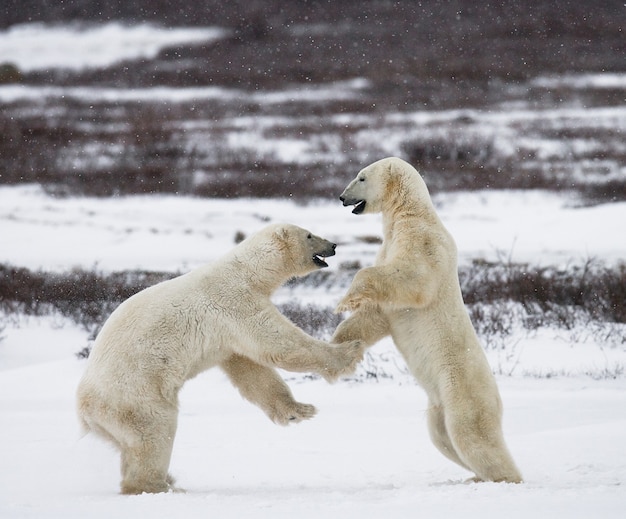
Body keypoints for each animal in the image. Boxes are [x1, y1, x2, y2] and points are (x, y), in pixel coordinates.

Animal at [77, 224, 366, 496]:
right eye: (308, 235)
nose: (333, 245)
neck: (246, 271)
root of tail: (85, 410)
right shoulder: (235, 303)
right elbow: (279, 344)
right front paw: (349, 351)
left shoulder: (229, 337)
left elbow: (251, 370)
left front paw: (297, 411)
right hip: (136, 394)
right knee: (155, 432)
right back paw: (158, 485)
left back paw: (167, 479)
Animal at [332, 157, 520, 484]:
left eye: (361, 177)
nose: (342, 197)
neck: (410, 212)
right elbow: (376, 315)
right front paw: (340, 348)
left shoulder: (422, 240)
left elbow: (411, 277)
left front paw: (345, 300)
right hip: (438, 403)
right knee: (441, 435)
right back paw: (474, 476)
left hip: (460, 387)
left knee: (470, 433)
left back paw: (503, 477)